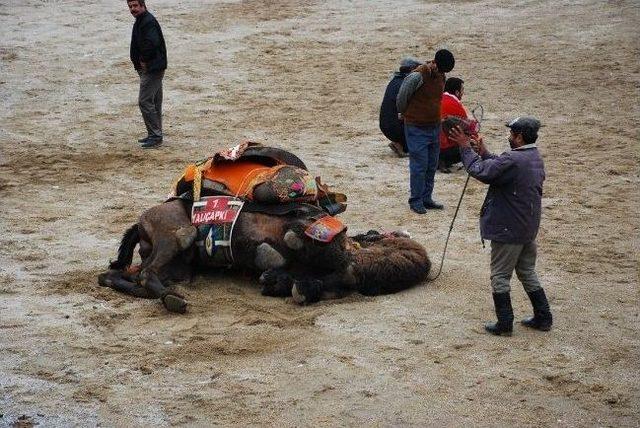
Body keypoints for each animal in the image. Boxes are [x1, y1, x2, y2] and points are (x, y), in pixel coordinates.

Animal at [99, 142, 430, 312]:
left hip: (179, 268)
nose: (354, 271)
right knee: (147, 271)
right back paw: (173, 299)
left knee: (127, 277)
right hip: (176, 236)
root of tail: (141, 220)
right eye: (390, 241)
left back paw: (168, 295)